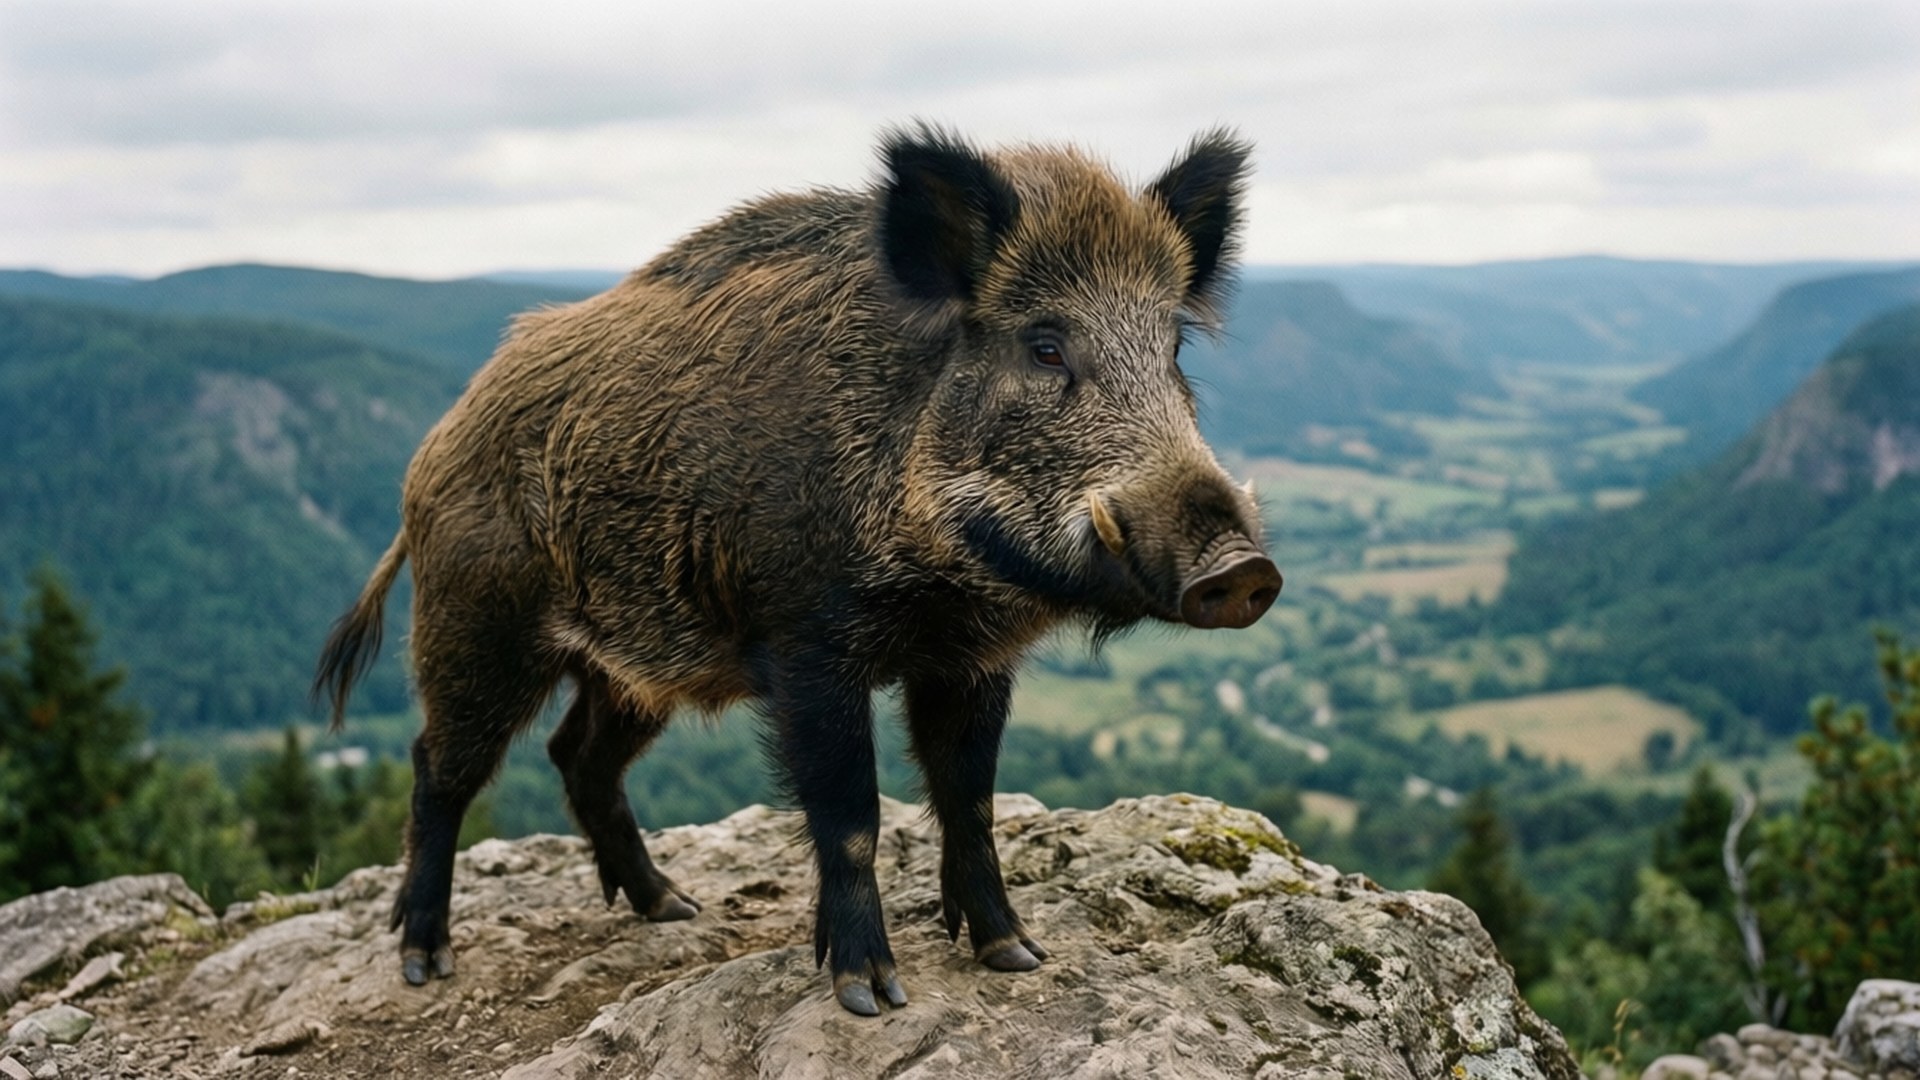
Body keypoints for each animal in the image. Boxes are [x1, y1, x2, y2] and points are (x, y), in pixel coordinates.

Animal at [315, 124, 1282, 1015]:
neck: (941, 580)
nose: (1243, 569)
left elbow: (970, 800)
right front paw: (870, 995)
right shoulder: (807, 644)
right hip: (477, 624)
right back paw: (425, 960)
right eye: (1044, 347)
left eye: (1173, 351)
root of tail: (435, 447)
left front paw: (1015, 955)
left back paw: (673, 907)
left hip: (633, 662)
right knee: (440, 767)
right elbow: (851, 814)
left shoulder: (973, 658)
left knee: (578, 755)